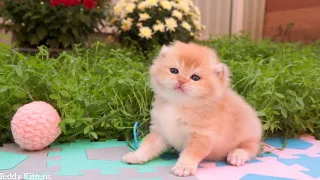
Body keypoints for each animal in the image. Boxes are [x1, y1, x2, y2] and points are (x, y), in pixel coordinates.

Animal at [121, 41, 262, 177]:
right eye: (174, 71)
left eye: (195, 78)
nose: (181, 80)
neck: (178, 104)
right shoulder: (160, 131)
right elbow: (147, 146)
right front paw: (136, 156)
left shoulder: (201, 136)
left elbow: (190, 154)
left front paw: (183, 167)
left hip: (249, 135)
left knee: (252, 147)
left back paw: (237, 155)